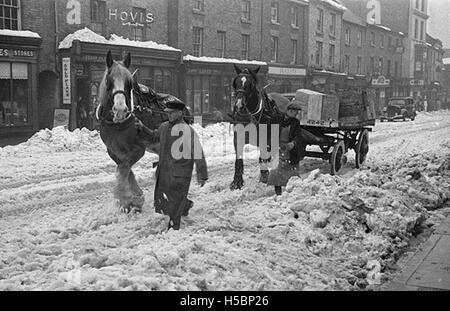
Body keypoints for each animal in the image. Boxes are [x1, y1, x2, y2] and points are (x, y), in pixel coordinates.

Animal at [96, 51, 190, 214]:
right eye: (108, 80)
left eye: (129, 82)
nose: (120, 110)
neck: (117, 124)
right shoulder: (113, 151)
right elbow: (125, 170)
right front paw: (131, 200)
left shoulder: (138, 149)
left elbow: (123, 170)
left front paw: (130, 199)